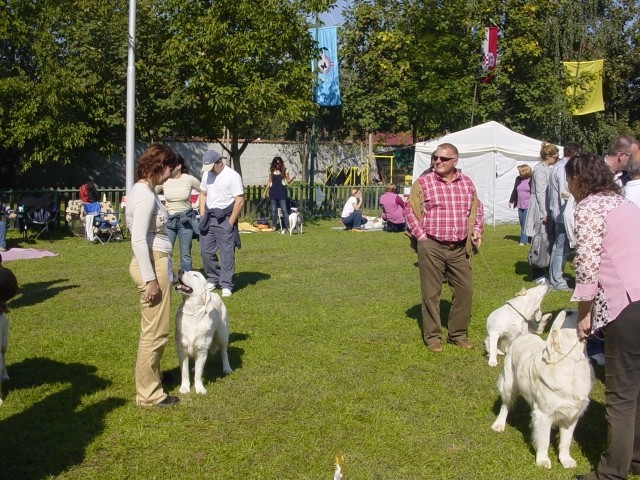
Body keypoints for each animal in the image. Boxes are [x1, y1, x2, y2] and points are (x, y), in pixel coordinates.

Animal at [490, 308, 596, 468]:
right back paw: (499, 424)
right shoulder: (544, 414)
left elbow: (566, 441)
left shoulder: (571, 413)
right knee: (505, 405)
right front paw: (543, 460)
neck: (573, 364)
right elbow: (544, 440)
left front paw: (566, 460)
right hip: (509, 383)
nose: (588, 310)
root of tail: (524, 336)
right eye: (569, 313)